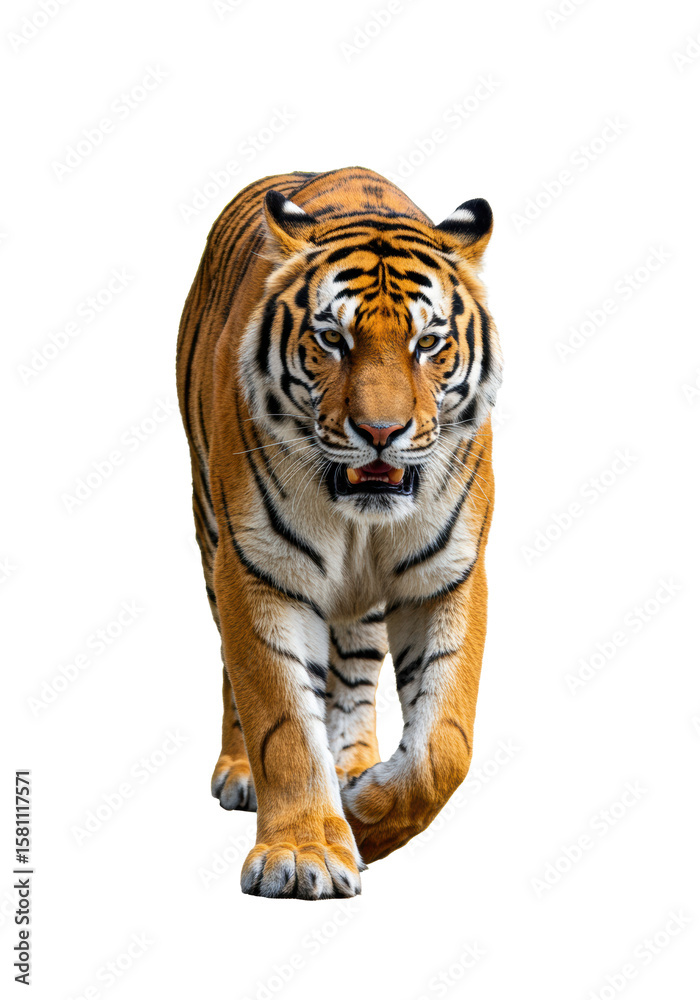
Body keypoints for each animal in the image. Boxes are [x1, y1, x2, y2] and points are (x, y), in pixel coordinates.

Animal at [176, 166, 502, 899]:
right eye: (332, 339)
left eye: (428, 343)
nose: (381, 433)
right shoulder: (259, 571)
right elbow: (282, 720)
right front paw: (303, 855)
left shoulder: (447, 574)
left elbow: (445, 744)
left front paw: (364, 818)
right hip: (210, 534)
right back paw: (241, 772)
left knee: (354, 674)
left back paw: (353, 767)